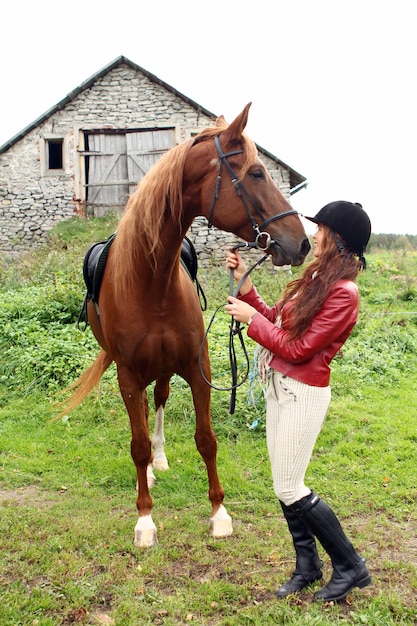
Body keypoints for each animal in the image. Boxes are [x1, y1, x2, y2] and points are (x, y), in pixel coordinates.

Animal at [61, 101, 308, 540]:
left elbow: (206, 439)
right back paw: (148, 473)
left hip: (164, 367)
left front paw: (219, 513)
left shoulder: (197, 368)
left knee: (158, 399)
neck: (152, 280)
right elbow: (137, 443)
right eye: (256, 173)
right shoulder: (128, 375)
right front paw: (144, 519)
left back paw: (159, 462)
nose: (302, 242)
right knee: (143, 413)